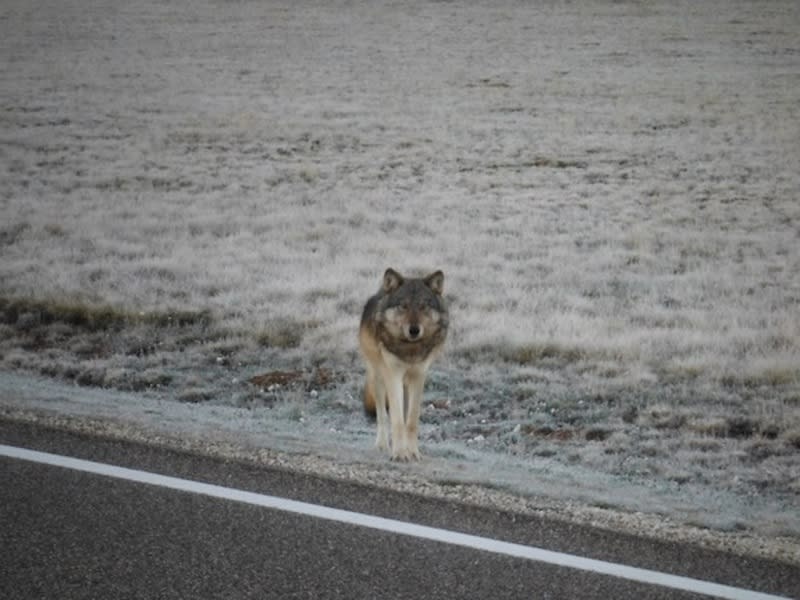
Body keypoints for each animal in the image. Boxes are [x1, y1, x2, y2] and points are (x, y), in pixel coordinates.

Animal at [358, 270, 446, 462]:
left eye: (423, 306)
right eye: (403, 306)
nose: (414, 330)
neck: (410, 348)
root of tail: (380, 291)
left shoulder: (419, 376)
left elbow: (410, 421)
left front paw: (412, 452)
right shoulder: (393, 375)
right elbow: (396, 420)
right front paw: (399, 453)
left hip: (405, 385)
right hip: (378, 377)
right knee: (382, 415)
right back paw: (382, 445)